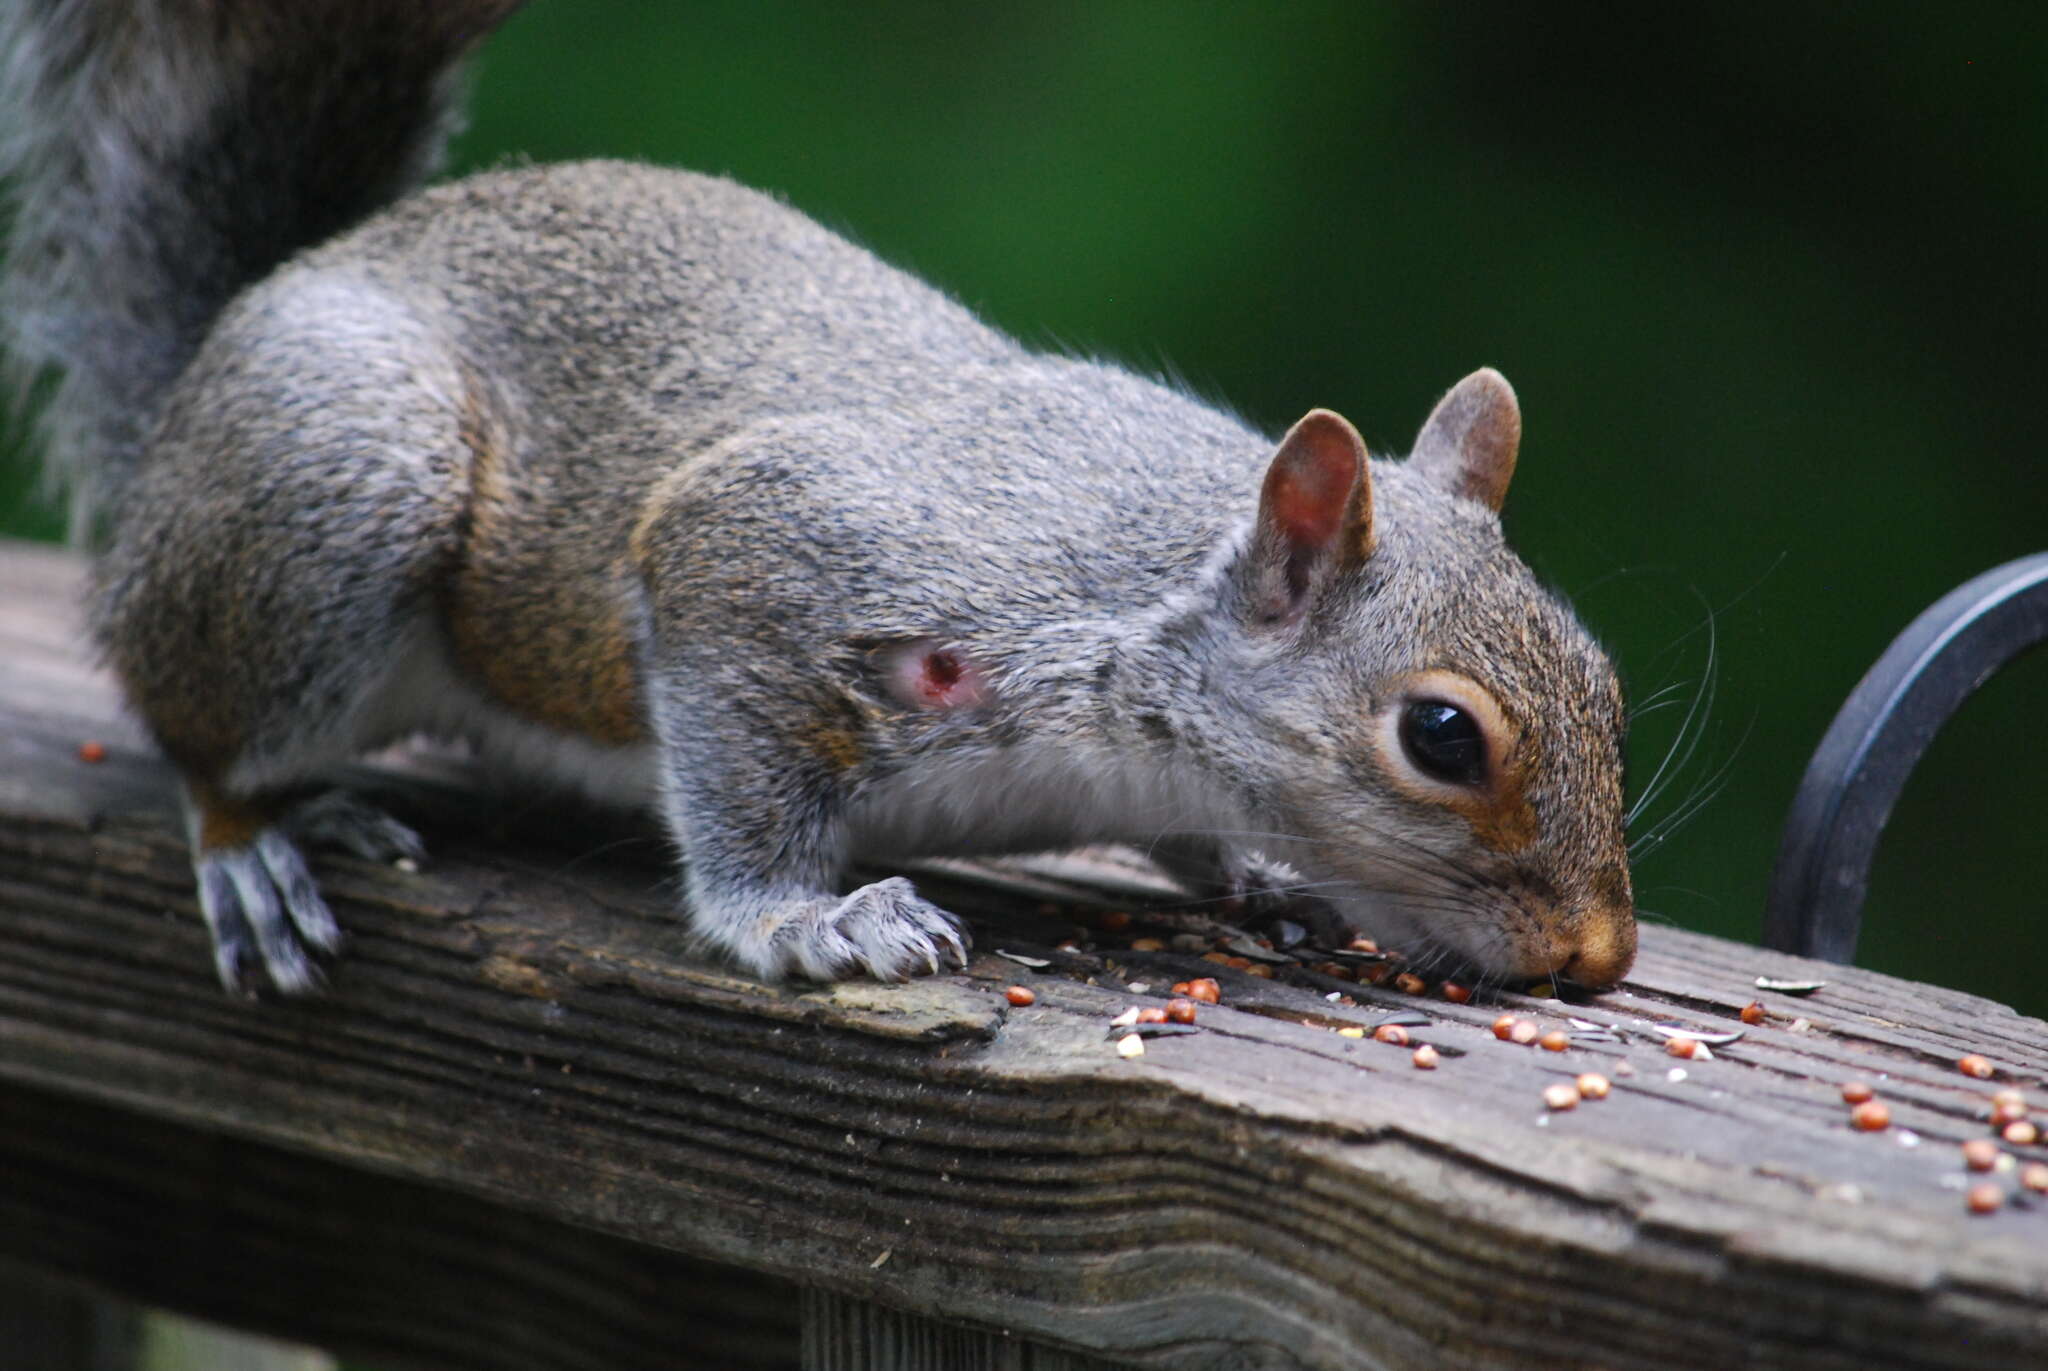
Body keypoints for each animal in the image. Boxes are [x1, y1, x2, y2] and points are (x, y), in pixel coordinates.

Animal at [0, 5, 1630, 1000]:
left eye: (1604, 679)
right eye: (1441, 736)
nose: (1600, 953)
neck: (1140, 595)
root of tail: (199, 386)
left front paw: (1253, 875)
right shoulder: (774, 553)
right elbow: (737, 773)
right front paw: (809, 918)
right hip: (332, 483)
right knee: (201, 726)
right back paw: (258, 841)